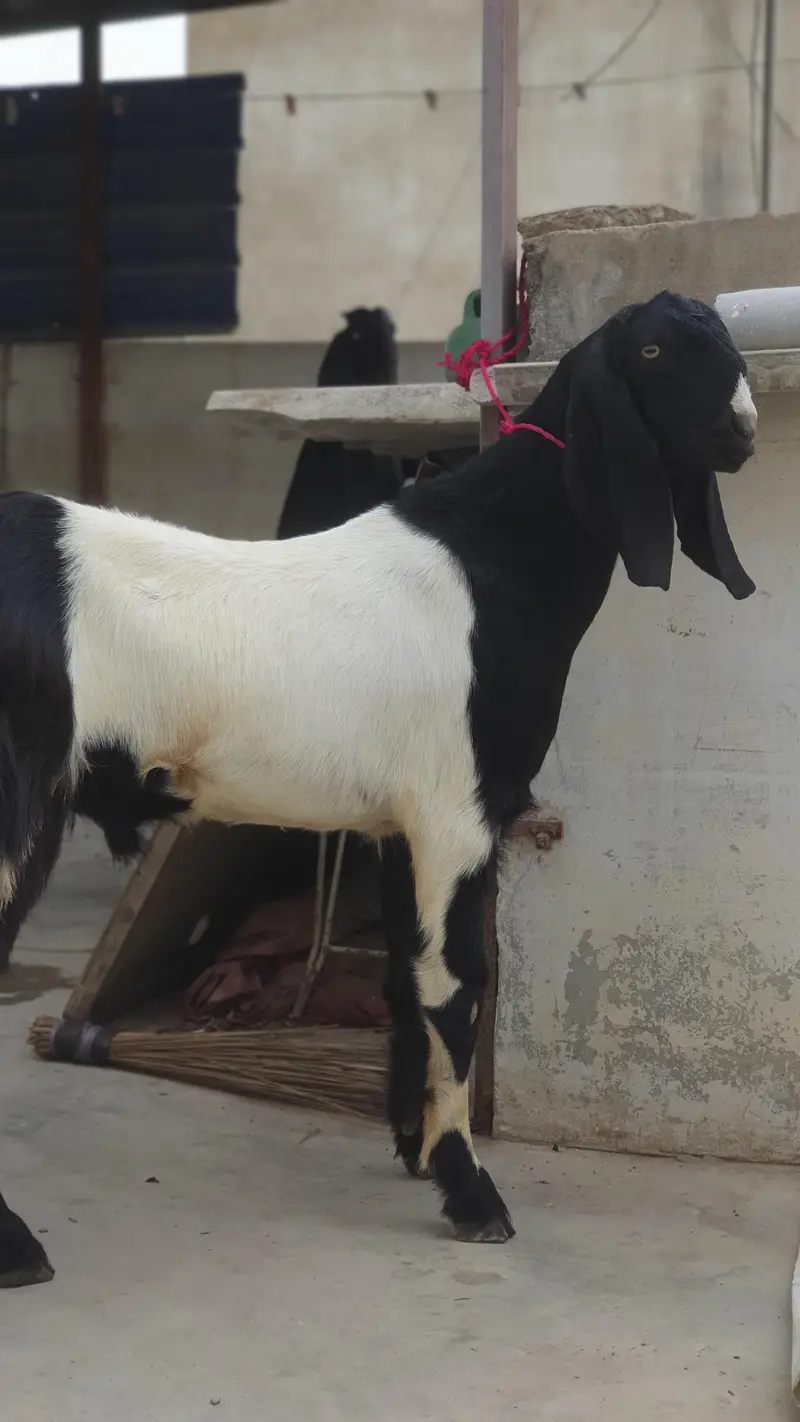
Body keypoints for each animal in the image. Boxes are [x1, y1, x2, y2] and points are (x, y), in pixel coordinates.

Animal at [0, 291, 756, 1242]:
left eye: (726, 342)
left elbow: (405, 978)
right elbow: (457, 987)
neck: (493, 557)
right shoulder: (456, 814)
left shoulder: (400, 823)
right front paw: (471, 1190)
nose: (743, 428)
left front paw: (415, 1148)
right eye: (652, 351)